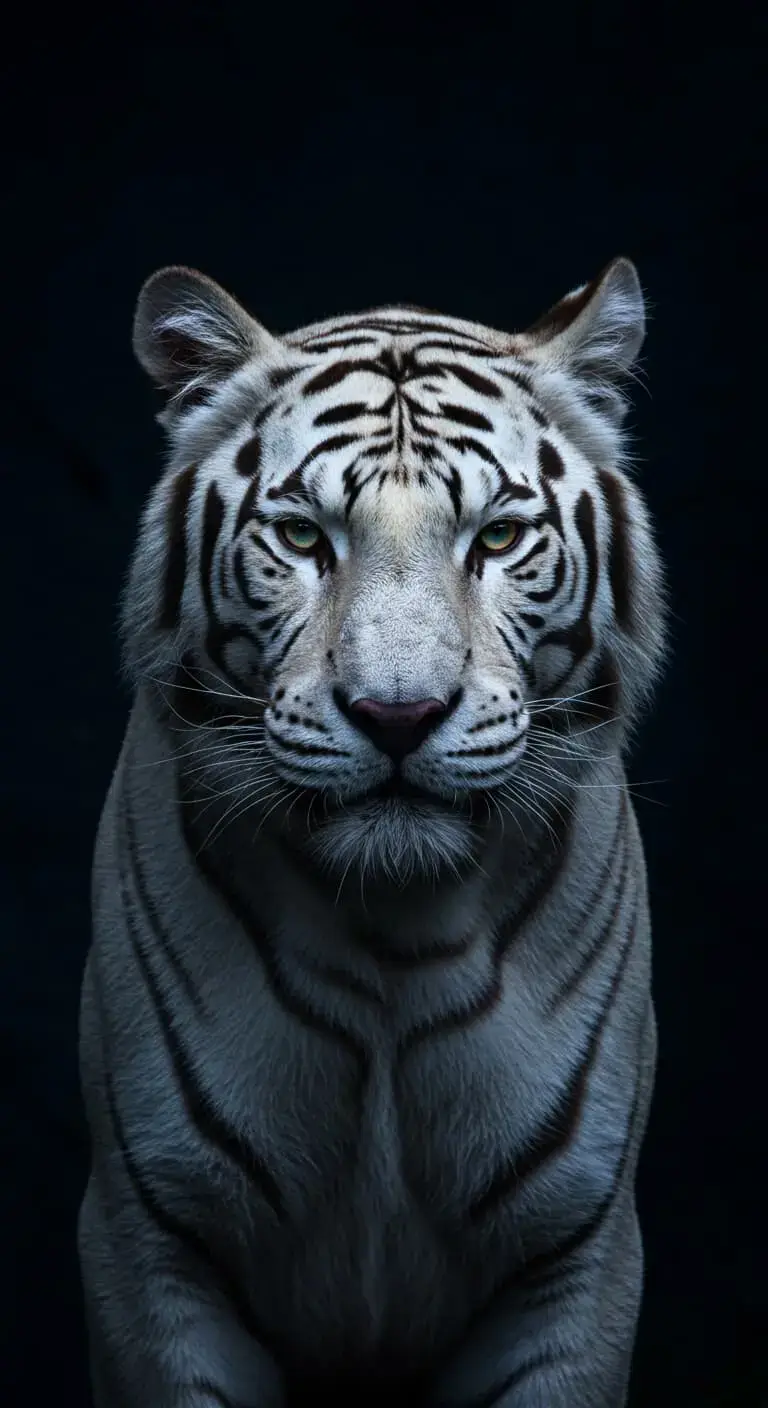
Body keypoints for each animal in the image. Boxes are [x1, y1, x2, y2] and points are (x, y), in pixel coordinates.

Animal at [78, 255, 667, 1408]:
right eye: (304, 536)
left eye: (498, 537)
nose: (399, 714)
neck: (393, 931)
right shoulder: (150, 1238)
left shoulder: (575, 1257)